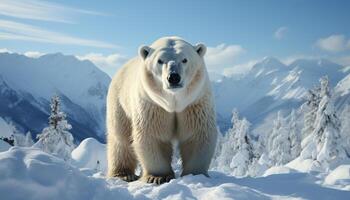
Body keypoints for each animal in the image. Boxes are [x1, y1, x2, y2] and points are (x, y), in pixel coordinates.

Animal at [105, 36, 217, 184]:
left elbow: (196, 134)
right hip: (120, 102)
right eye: (160, 60)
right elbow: (153, 135)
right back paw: (123, 174)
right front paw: (158, 176)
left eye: (184, 59)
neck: (174, 102)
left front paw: (195, 174)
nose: (173, 77)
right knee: (121, 138)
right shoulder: (153, 105)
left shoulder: (194, 103)